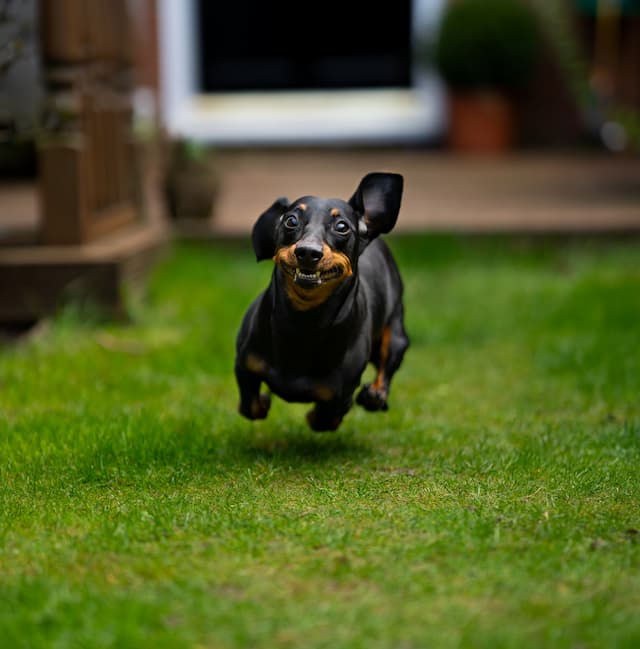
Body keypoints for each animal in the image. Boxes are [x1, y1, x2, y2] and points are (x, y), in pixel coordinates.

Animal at [235, 172, 410, 430]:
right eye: (290, 221)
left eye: (342, 226)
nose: (308, 252)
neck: (303, 322)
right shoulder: (245, 366)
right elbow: (251, 406)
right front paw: (264, 401)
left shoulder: (341, 393)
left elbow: (325, 418)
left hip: (396, 334)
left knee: (386, 368)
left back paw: (375, 395)